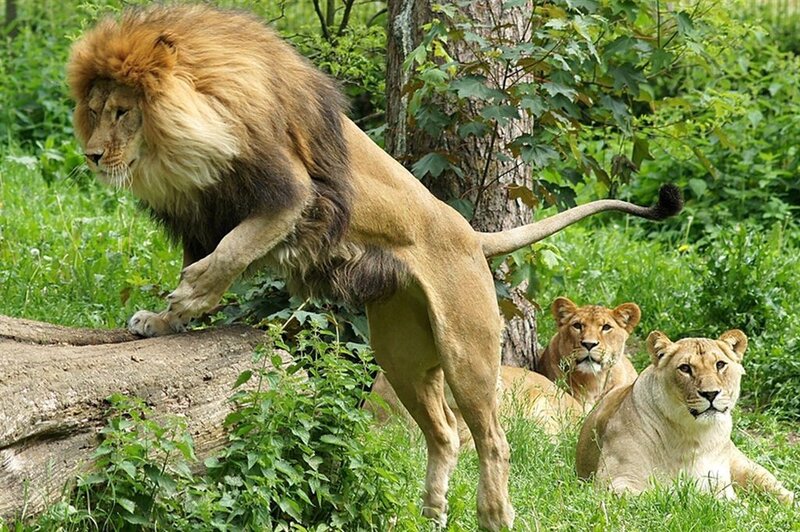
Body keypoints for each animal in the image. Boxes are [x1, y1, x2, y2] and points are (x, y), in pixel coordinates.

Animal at [576, 330, 794, 504]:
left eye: (720, 365)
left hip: (746, 465)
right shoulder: (614, 481)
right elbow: (671, 495)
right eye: (685, 368)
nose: (710, 394)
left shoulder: (722, 482)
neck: (693, 435)